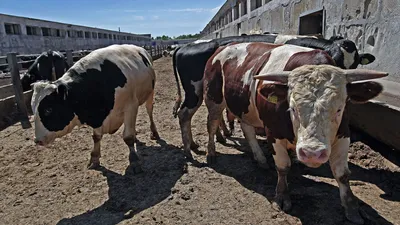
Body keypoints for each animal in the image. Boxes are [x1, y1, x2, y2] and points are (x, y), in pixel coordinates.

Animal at [30, 44, 159, 174]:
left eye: (48, 110)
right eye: (32, 108)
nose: (37, 140)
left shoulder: (130, 106)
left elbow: (127, 137)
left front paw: (134, 161)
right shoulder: (97, 116)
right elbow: (96, 137)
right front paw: (94, 159)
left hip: (150, 93)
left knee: (149, 111)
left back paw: (154, 132)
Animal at [172, 33, 376, 162]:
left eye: (356, 64)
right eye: (337, 61)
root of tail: (184, 46)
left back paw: (202, 142)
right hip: (198, 92)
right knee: (186, 114)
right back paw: (192, 150)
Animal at [203, 41, 388, 223]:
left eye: (339, 109)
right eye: (292, 108)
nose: (312, 153)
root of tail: (222, 48)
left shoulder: (343, 133)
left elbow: (342, 174)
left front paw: (351, 208)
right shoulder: (273, 132)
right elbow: (283, 166)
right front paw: (282, 196)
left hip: (244, 107)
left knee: (247, 129)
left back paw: (260, 159)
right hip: (213, 98)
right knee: (212, 124)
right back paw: (211, 153)